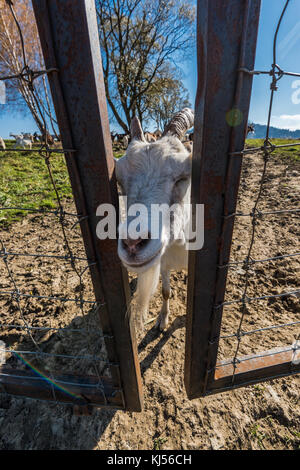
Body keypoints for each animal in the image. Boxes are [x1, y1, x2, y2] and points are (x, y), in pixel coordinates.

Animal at [116, 109, 193, 330]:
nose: (132, 243)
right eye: (119, 180)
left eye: (183, 176)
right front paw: (162, 320)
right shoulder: (164, 262)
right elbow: (166, 291)